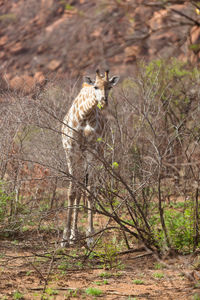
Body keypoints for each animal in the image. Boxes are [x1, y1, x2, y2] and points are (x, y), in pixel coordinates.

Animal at [61, 69, 119, 246]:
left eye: (110, 87)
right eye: (95, 87)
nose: (104, 101)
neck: (84, 115)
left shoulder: (92, 153)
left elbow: (89, 192)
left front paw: (90, 236)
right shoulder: (71, 152)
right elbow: (71, 192)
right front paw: (64, 237)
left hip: (87, 158)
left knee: (82, 189)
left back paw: (76, 235)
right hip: (77, 159)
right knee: (77, 189)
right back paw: (72, 236)